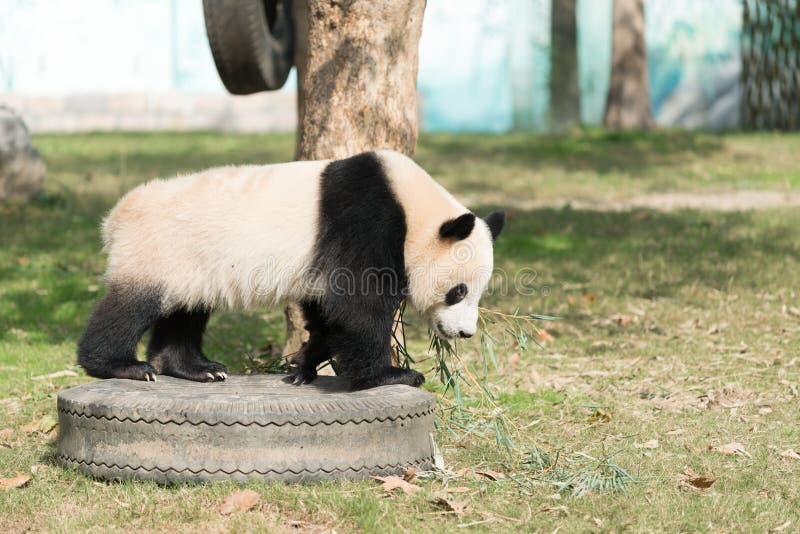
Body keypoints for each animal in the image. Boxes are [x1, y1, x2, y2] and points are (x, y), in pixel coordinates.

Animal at [77, 150, 504, 390]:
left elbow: (328, 310)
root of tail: (115, 217)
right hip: (156, 249)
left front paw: (302, 367)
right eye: (459, 291)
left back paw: (194, 368)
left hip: (190, 264)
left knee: (186, 311)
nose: (465, 333)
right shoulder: (366, 219)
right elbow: (359, 303)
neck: (413, 206)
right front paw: (391, 375)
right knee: (130, 307)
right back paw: (120, 366)